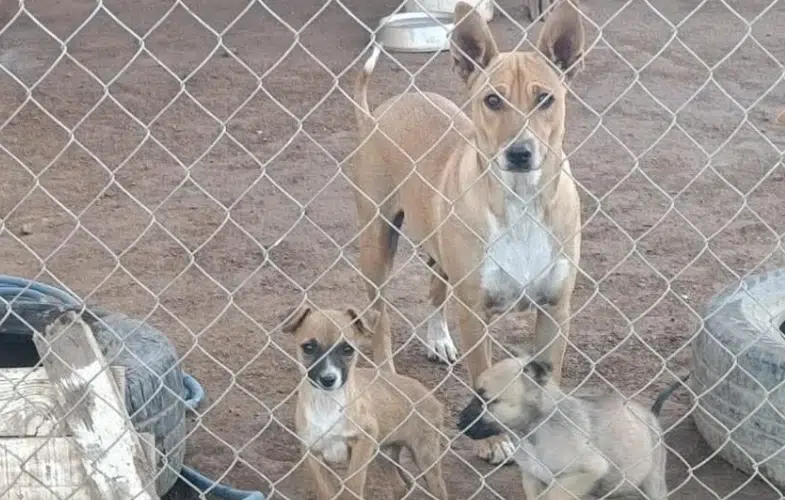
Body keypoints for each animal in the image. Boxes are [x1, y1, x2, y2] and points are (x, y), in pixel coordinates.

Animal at [286, 306, 448, 500]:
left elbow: (353, 485)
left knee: (439, 489)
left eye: (347, 349)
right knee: (401, 486)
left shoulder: (364, 440)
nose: (328, 379)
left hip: (425, 456)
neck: (328, 403)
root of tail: (430, 395)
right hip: (385, 454)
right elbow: (325, 491)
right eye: (308, 348)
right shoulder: (312, 452)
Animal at [348, 0, 580, 464]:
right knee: (380, 320)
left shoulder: (555, 308)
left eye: (545, 98)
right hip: (377, 244)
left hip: (438, 247)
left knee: (435, 288)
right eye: (492, 100)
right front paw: (494, 442)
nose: (520, 152)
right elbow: (481, 375)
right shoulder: (475, 312)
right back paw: (388, 374)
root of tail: (379, 112)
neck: (521, 205)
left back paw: (437, 339)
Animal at [462, 358, 676, 498]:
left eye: (486, 400)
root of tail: (651, 415)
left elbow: (552, 495)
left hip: (654, 481)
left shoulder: (586, 471)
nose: (459, 423)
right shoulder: (531, 477)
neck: (533, 430)